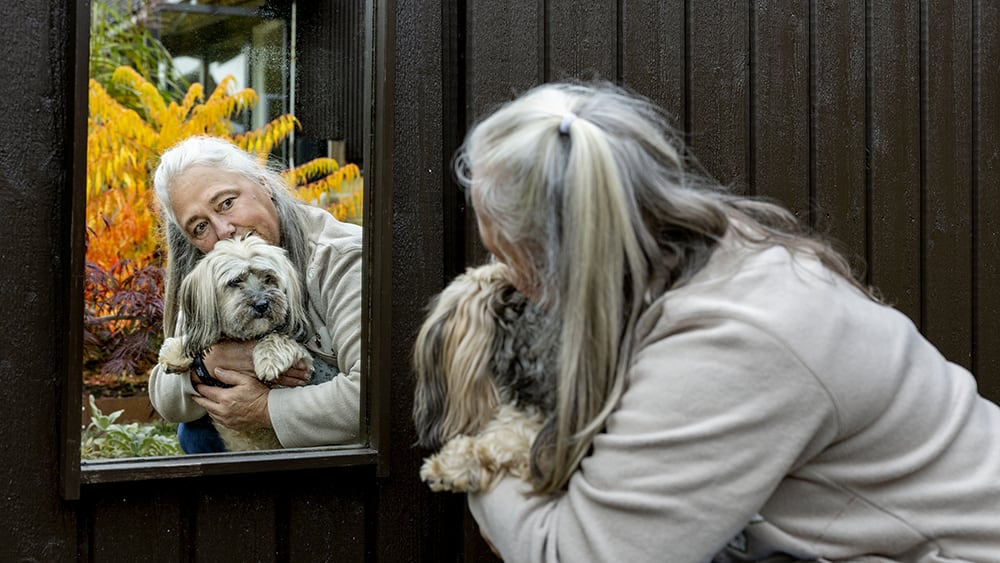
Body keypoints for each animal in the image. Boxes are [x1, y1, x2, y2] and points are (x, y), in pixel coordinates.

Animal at [158, 236, 312, 452]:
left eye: (268, 278)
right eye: (235, 281)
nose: (262, 304)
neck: (243, 338)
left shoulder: (305, 363)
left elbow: (279, 338)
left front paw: (269, 359)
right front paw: (176, 353)